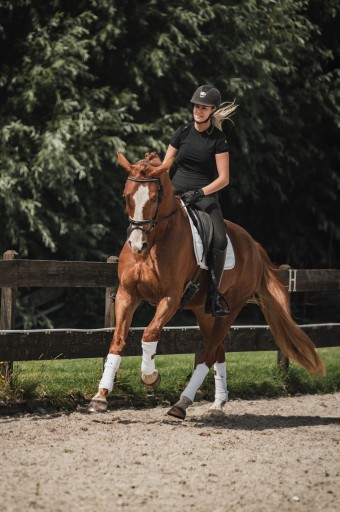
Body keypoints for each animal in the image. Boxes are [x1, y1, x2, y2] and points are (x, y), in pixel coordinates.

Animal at [88, 151, 326, 416]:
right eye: (126, 196)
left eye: (154, 197)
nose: (137, 245)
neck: (155, 242)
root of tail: (253, 245)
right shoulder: (126, 294)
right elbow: (117, 340)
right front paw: (100, 396)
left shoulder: (170, 298)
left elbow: (149, 334)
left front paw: (151, 377)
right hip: (204, 312)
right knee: (218, 350)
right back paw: (217, 403)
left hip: (231, 308)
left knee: (209, 353)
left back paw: (181, 404)